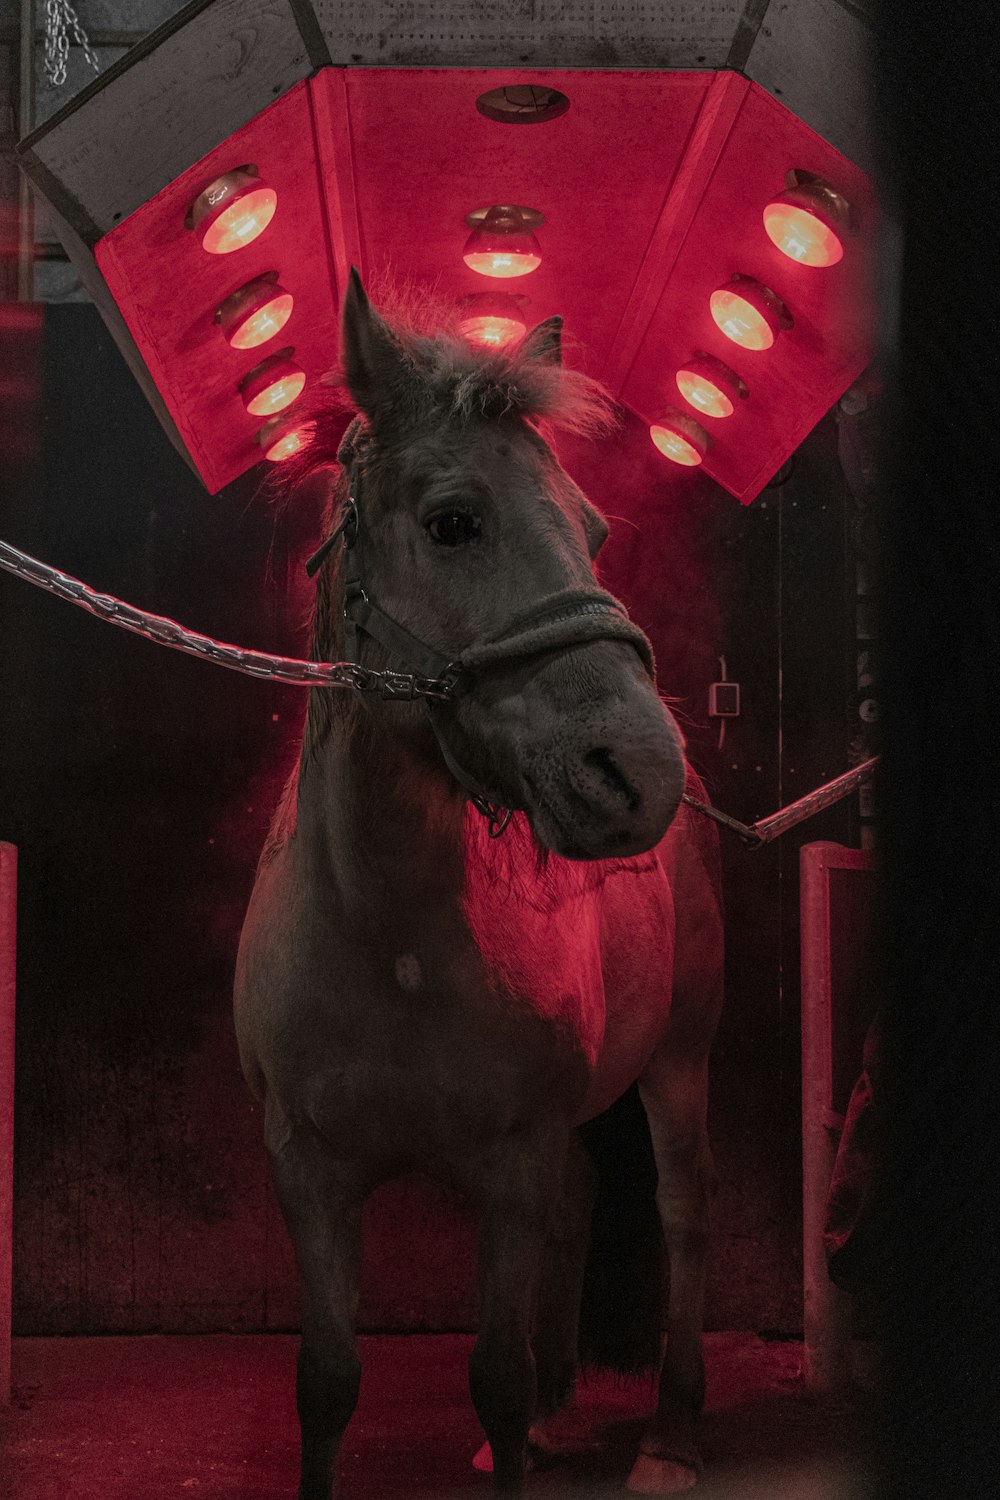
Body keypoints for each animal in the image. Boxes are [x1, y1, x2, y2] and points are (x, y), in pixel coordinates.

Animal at [238, 273, 722, 1500]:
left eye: (594, 531)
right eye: (454, 519)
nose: (639, 772)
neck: (390, 939)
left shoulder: (510, 1159)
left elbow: (492, 1377)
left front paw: (530, 1414)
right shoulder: (309, 1174)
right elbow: (326, 1383)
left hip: (678, 1064)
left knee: (681, 1216)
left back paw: (671, 1436)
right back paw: (560, 1414)